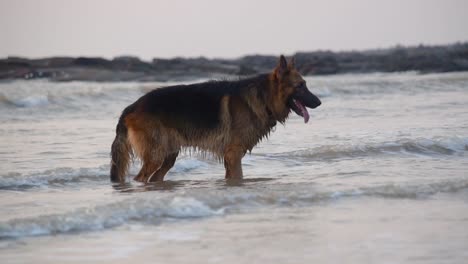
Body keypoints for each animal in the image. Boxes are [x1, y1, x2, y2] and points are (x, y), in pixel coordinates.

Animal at [110, 55, 322, 184]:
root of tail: (131, 107)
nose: (319, 102)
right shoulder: (234, 154)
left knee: (155, 178)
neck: (264, 97)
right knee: (141, 178)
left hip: (169, 155)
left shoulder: (231, 157)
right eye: (301, 86)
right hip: (156, 155)